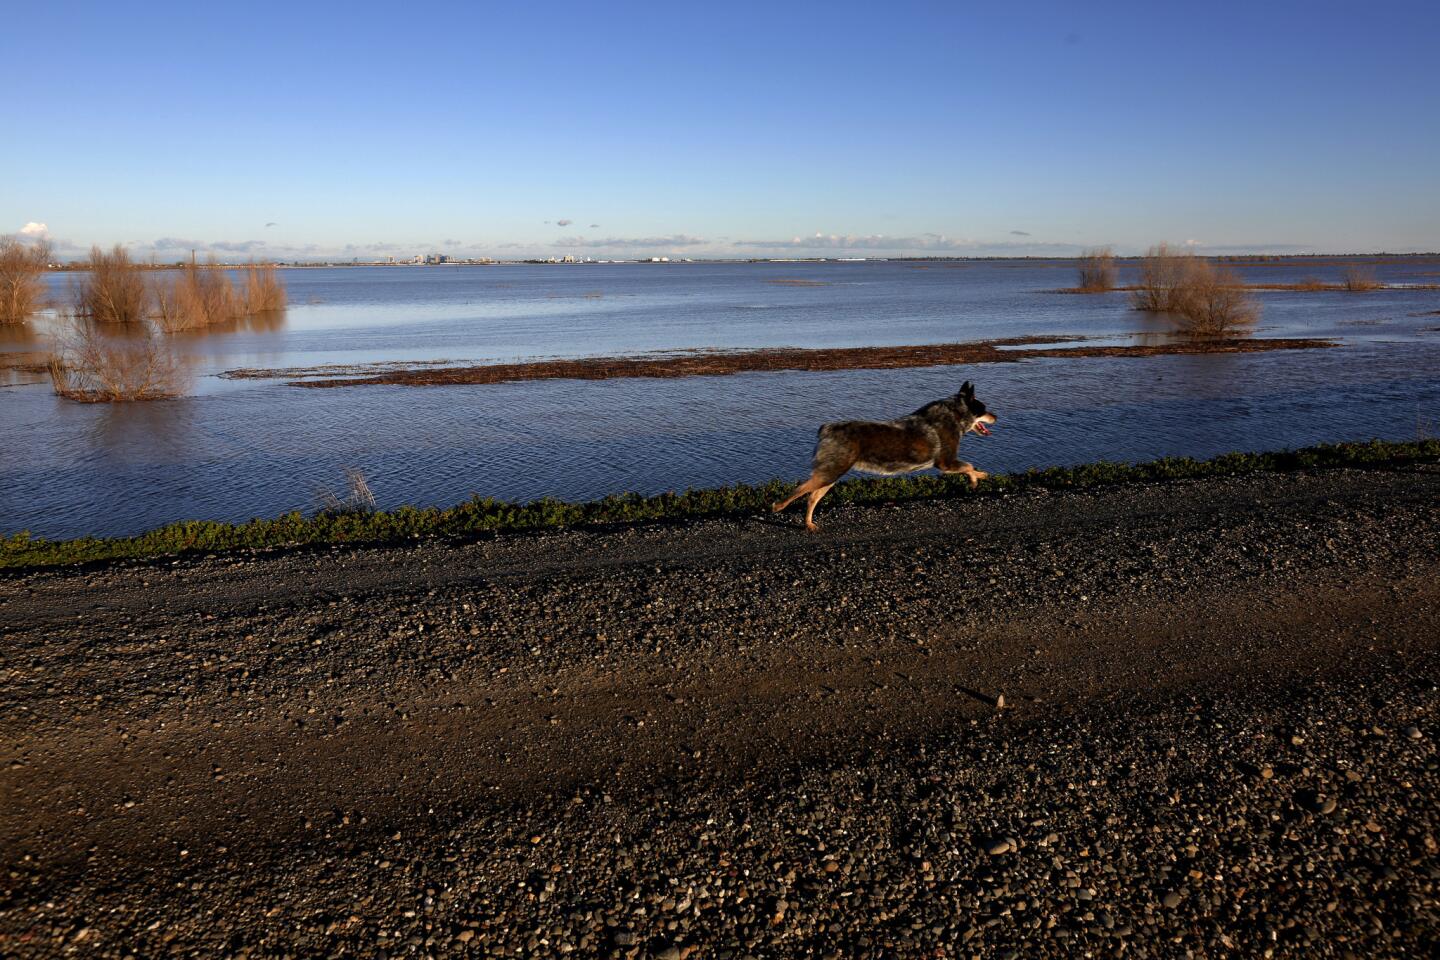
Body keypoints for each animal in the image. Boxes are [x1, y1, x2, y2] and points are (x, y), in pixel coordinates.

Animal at [771, 379, 996, 532]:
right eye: (984, 408)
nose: (996, 416)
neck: (955, 414)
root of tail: (826, 429)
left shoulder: (948, 463)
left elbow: (970, 467)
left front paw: (980, 477)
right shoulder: (945, 462)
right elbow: (969, 466)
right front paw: (977, 479)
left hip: (831, 474)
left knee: (812, 497)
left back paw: (808, 524)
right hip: (830, 472)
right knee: (801, 489)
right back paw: (778, 506)